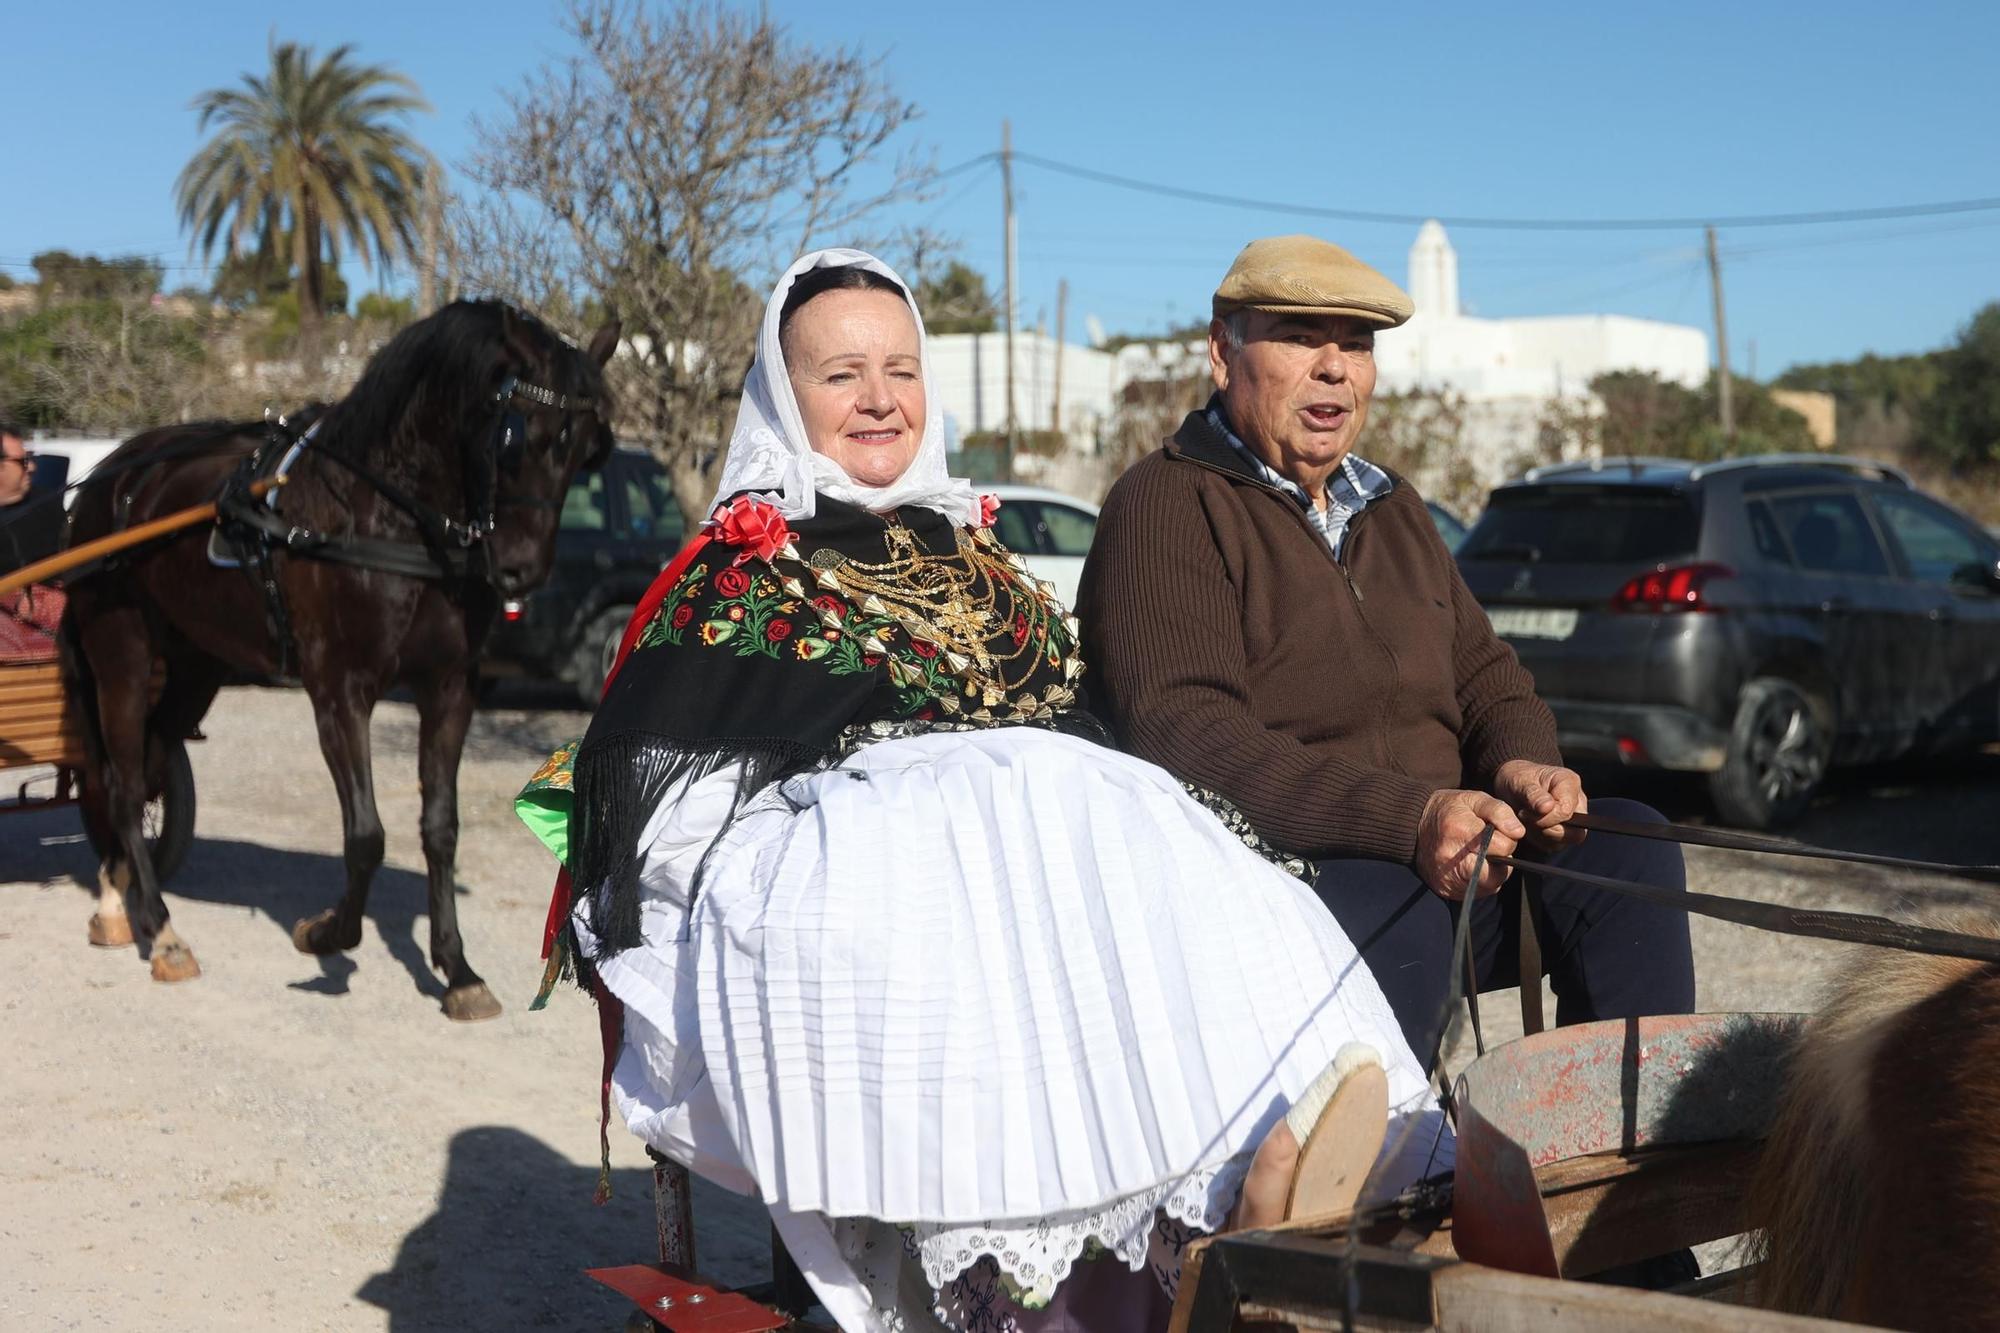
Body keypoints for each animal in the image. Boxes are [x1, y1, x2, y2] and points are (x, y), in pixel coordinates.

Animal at [64, 300, 616, 1016]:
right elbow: (366, 835)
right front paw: (328, 934)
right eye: (514, 435)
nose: (521, 570)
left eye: (588, 450)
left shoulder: (449, 688)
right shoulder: (339, 691)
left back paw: (115, 895)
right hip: (123, 653)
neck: (387, 519)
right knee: (127, 783)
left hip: (194, 663)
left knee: (153, 758)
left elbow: (441, 827)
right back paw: (160, 929)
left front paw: (456, 969)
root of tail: (113, 477)